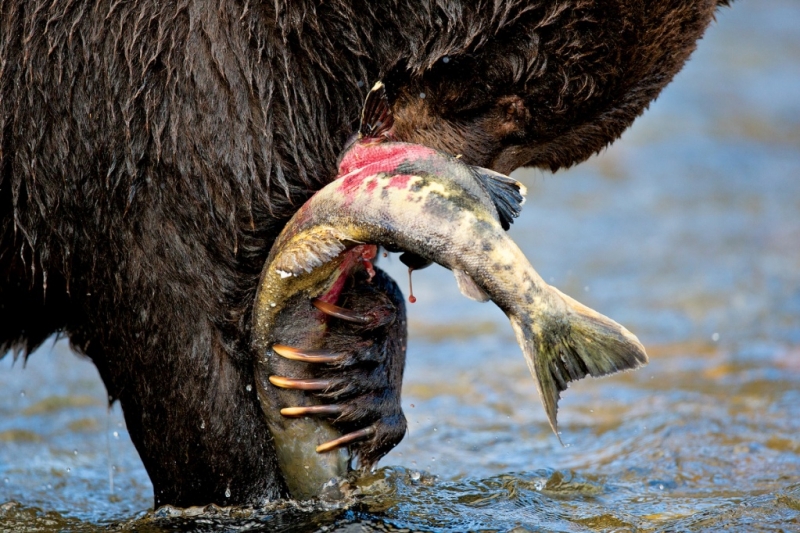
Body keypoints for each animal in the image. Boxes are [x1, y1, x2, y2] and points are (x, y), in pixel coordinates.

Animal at [0, 0, 732, 508]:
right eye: (494, 95)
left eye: (532, 137)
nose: (486, 202)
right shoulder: (146, 100)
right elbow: (181, 339)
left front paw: (354, 373)